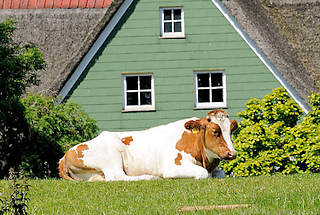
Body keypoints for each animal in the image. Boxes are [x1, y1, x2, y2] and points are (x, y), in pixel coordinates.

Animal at [58, 109, 238, 181]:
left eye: (231, 129)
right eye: (215, 131)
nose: (232, 153)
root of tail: (66, 154)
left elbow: (221, 174)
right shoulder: (172, 167)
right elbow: (202, 173)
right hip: (112, 155)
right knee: (118, 177)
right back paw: (150, 177)